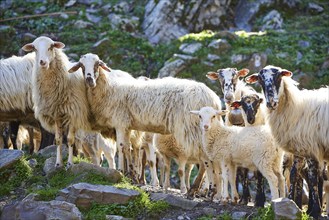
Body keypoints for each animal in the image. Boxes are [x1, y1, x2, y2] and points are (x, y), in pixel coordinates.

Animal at [22, 36, 90, 168]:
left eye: (51, 47)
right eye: (34, 49)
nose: (42, 62)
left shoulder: (73, 113)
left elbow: (70, 139)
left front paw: (69, 163)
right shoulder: (57, 114)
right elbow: (58, 140)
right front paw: (58, 163)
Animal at [68, 52, 222, 194]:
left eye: (97, 64)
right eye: (81, 66)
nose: (89, 80)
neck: (109, 89)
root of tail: (214, 99)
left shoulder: (120, 122)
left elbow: (121, 147)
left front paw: (123, 172)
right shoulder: (128, 126)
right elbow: (128, 148)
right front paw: (131, 175)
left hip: (194, 128)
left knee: (204, 159)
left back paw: (196, 189)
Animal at [246, 65, 328, 218]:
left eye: (279, 77)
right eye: (260, 80)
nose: (271, 103)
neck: (296, 108)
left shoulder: (311, 147)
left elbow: (312, 178)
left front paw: (315, 211)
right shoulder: (300, 148)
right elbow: (294, 175)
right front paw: (291, 202)